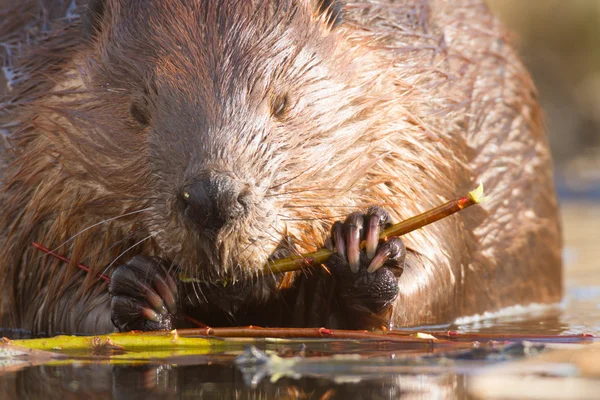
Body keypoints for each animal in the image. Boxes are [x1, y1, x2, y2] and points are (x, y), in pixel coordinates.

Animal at [0, 0, 564, 338]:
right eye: (139, 109)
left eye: (282, 102)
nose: (213, 197)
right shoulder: (32, 165)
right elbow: (52, 300)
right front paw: (141, 288)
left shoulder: (424, 125)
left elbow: (437, 274)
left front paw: (366, 245)